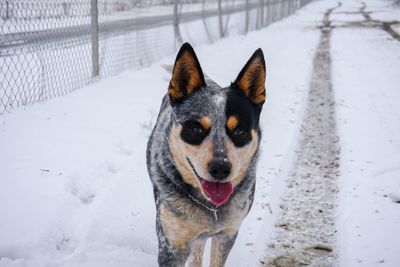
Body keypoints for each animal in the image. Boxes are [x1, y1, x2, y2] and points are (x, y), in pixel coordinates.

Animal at [147, 43, 266, 266]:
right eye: (196, 128)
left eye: (240, 131)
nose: (220, 168)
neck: (211, 208)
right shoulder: (172, 245)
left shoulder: (227, 234)